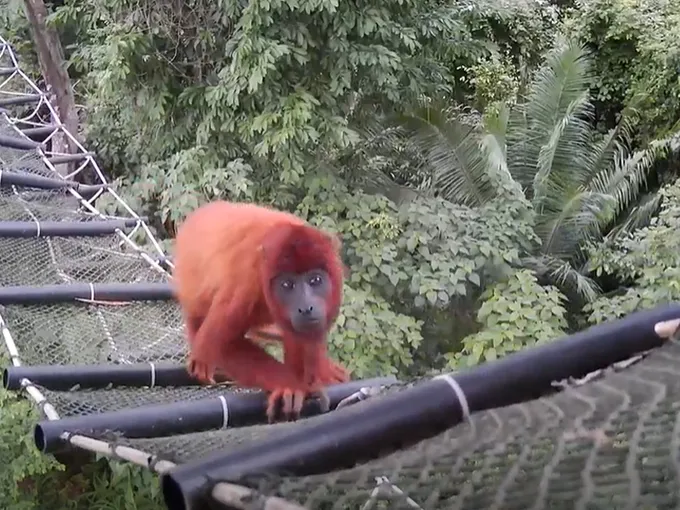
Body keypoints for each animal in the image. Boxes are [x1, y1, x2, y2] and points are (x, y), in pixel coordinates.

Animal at [172, 200, 350, 422]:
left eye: (315, 280)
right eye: (287, 284)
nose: (306, 307)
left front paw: (316, 374)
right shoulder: (245, 283)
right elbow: (221, 346)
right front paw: (290, 385)